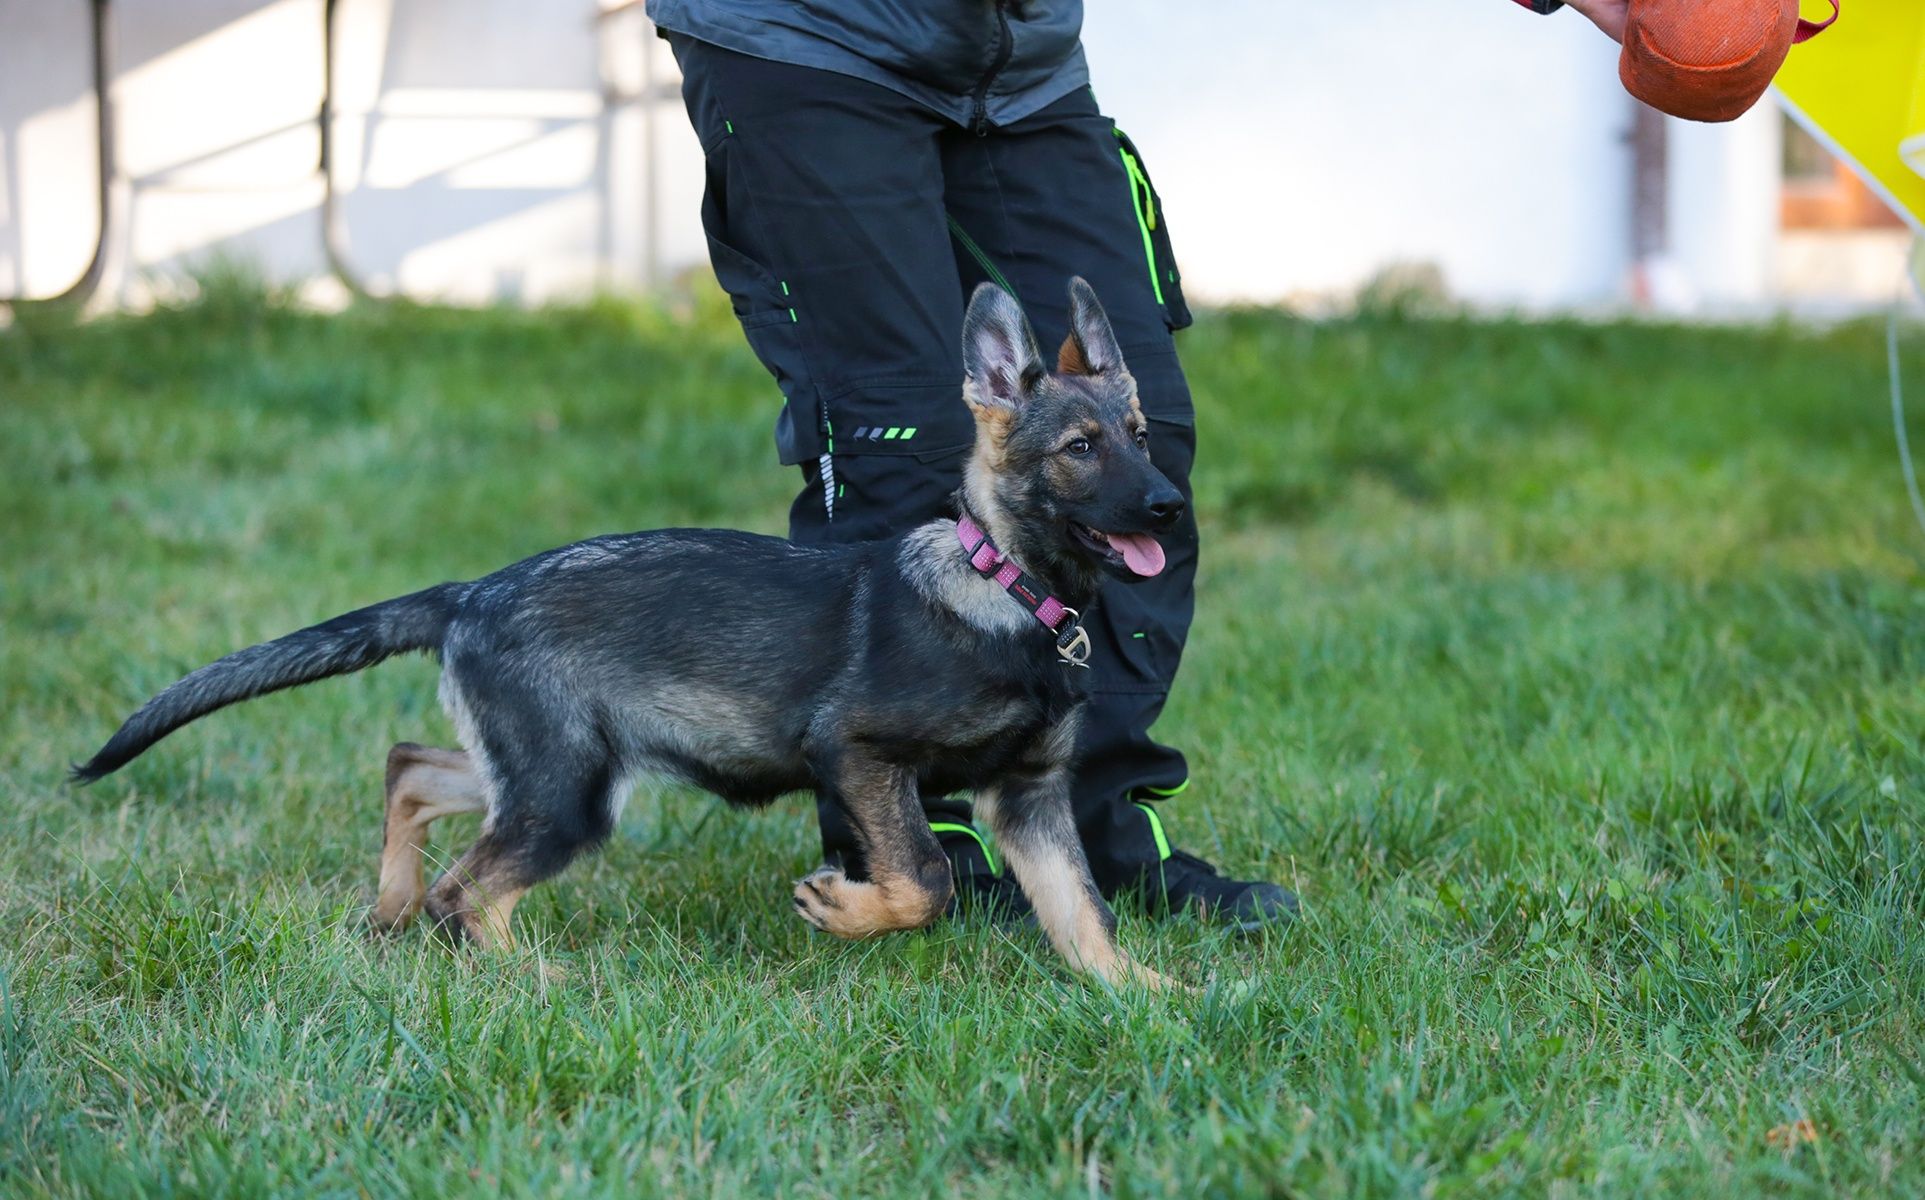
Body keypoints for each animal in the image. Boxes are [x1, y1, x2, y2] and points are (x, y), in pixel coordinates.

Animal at [75, 283, 1178, 993]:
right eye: (1079, 449)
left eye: (1139, 435)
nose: (1169, 505)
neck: (1008, 588)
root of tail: (469, 593)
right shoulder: (858, 752)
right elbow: (927, 879)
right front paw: (845, 910)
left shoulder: (1029, 799)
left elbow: (1080, 911)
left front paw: (1146, 996)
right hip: (568, 789)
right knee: (465, 891)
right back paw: (534, 978)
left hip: (551, 765)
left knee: (413, 771)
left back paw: (392, 909)